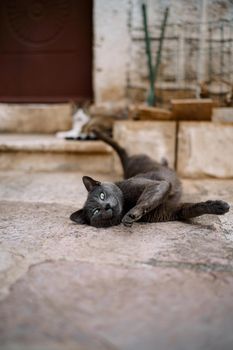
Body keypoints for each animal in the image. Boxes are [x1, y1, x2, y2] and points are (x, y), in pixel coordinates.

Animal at [69, 131, 229, 227]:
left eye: (102, 195)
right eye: (96, 211)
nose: (106, 206)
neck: (126, 205)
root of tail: (127, 162)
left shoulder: (157, 185)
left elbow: (145, 200)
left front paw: (131, 214)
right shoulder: (170, 210)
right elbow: (192, 208)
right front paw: (220, 207)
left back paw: (165, 160)